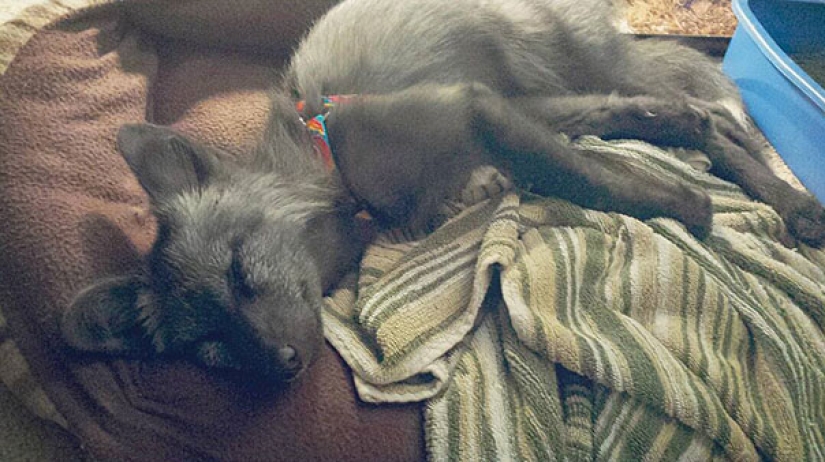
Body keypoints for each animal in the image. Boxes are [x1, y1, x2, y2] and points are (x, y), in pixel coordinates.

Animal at [62, 0, 825, 383]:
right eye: (210, 349)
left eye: (240, 274)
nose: (281, 367)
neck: (327, 155)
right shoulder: (513, 115)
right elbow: (604, 146)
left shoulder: (476, 109)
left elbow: (590, 175)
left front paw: (684, 205)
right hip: (550, 85)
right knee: (678, 116)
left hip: (565, 62)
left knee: (702, 114)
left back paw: (787, 199)